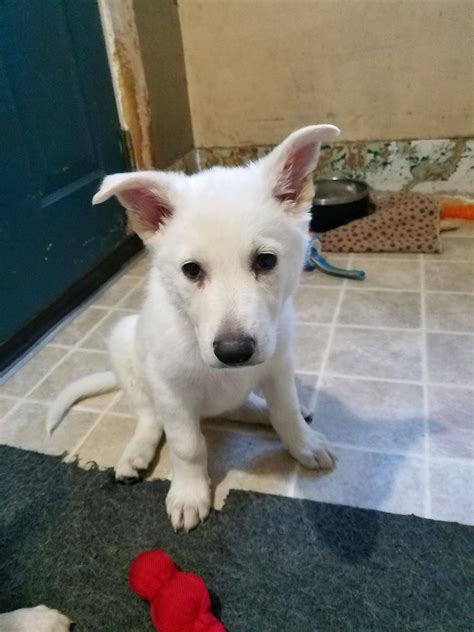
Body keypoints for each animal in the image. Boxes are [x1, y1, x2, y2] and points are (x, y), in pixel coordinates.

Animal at [49, 126, 340, 532]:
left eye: (266, 261)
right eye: (191, 270)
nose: (234, 352)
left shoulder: (279, 366)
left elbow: (286, 412)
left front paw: (304, 443)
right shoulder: (172, 392)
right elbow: (187, 447)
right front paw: (189, 494)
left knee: (244, 406)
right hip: (125, 344)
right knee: (148, 417)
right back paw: (136, 454)